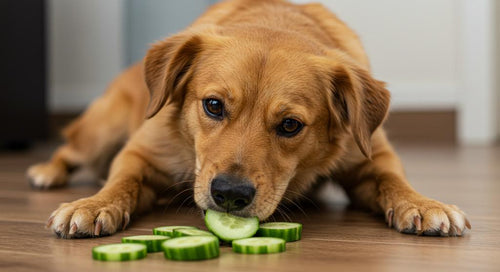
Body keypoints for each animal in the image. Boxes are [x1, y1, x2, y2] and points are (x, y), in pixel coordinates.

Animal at [27, 0, 470, 238]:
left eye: (290, 125)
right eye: (213, 105)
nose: (230, 195)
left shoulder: (371, 159)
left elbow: (394, 182)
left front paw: (423, 203)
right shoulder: (141, 153)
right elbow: (121, 182)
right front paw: (95, 204)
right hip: (100, 131)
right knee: (69, 149)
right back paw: (46, 171)